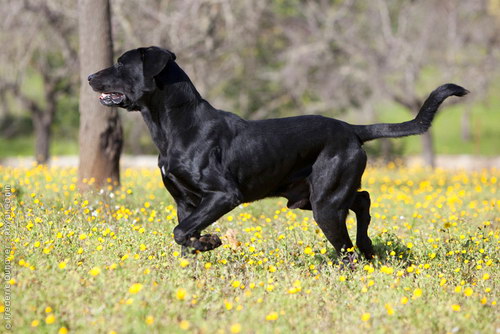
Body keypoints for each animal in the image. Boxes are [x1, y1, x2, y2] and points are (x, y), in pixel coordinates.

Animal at [89, 47, 468, 260]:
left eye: (121, 64)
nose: (90, 76)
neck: (177, 125)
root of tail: (352, 129)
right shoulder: (184, 201)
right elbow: (184, 235)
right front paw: (198, 255)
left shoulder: (224, 195)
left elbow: (181, 232)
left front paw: (211, 242)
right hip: (313, 197)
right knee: (362, 200)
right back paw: (368, 245)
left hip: (325, 203)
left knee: (348, 244)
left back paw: (357, 258)